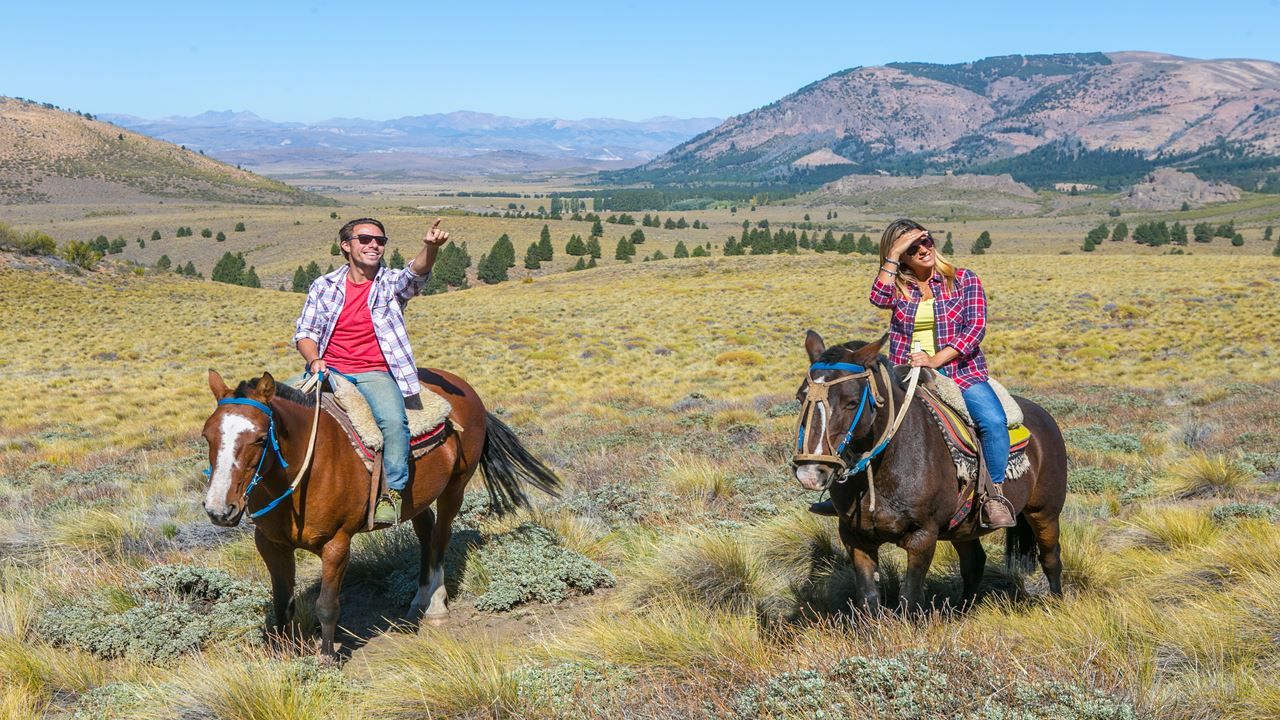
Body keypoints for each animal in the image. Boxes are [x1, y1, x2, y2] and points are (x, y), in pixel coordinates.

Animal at [200, 366, 560, 653]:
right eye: (207, 436)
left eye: (261, 438)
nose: (219, 509)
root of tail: (464, 388)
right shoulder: (271, 544)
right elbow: (282, 604)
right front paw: (285, 656)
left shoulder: (337, 543)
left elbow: (327, 605)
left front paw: (327, 659)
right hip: (417, 497)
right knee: (426, 532)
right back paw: (419, 600)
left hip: (454, 489)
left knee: (441, 538)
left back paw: (436, 607)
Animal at [793, 333, 1064, 614]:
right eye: (800, 398)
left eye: (852, 402)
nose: (810, 472)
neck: (882, 470)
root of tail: (1043, 416)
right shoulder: (854, 537)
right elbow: (868, 598)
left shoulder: (923, 536)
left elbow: (910, 598)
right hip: (964, 528)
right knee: (974, 564)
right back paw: (962, 611)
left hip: (1044, 512)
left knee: (1050, 556)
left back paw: (1057, 603)